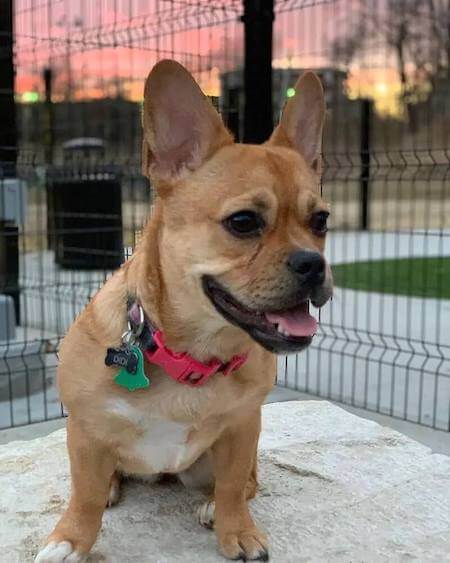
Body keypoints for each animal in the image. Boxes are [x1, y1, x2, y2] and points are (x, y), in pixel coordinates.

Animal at [35, 59, 332, 560]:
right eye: (243, 222)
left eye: (321, 222)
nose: (314, 262)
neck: (192, 354)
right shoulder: (87, 431)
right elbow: (85, 494)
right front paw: (71, 539)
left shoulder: (242, 429)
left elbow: (233, 485)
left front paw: (237, 529)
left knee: (248, 482)